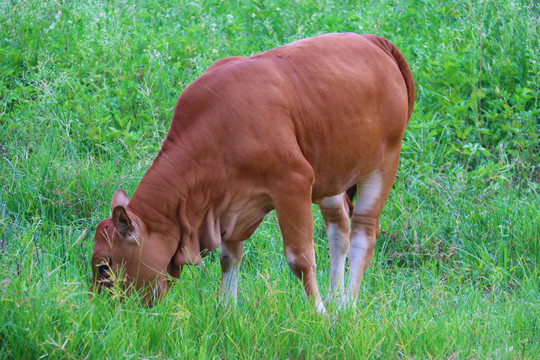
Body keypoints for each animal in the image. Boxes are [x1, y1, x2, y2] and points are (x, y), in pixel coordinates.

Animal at [90, 32, 416, 312]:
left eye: (104, 265)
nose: (101, 310)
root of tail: (372, 39)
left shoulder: (293, 183)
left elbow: (300, 260)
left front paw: (319, 315)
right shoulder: (231, 202)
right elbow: (228, 257)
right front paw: (226, 310)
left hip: (383, 165)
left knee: (364, 235)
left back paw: (346, 308)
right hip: (333, 175)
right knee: (339, 229)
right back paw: (336, 300)